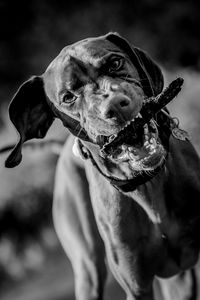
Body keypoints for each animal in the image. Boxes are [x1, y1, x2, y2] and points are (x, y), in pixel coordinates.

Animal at [5, 33, 200, 300]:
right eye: (68, 97)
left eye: (115, 63)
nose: (115, 106)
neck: (146, 184)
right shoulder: (137, 288)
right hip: (88, 270)